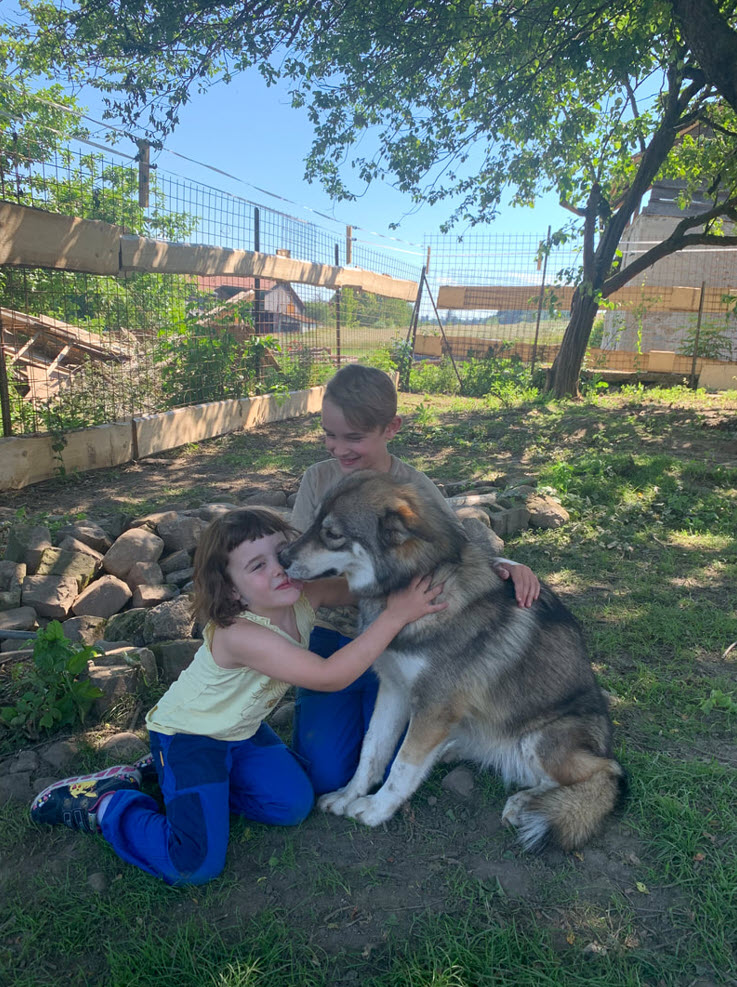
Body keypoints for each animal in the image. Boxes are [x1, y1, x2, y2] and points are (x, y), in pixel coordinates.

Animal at [280, 470, 625, 850]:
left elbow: (402, 766)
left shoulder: (434, 706)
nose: (280, 557)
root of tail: (606, 744)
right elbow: (372, 749)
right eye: (314, 523)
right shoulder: (394, 690)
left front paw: (375, 809)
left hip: (543, 740)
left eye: (332, 534)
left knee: (604, 775)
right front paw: (348, 794)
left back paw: (525, 802)